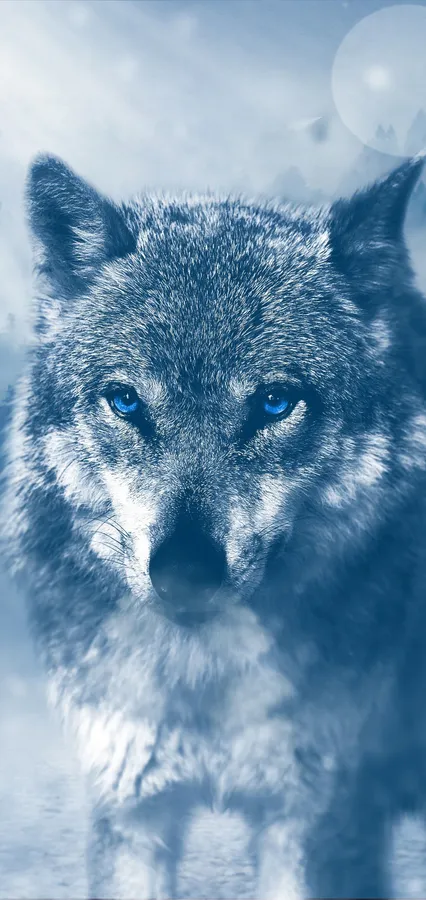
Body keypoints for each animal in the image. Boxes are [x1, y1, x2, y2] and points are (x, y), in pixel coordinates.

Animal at [2, 152, 426, 899]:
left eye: (276, 402)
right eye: (125, 401)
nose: (186, 572)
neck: (202, 684)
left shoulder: (314, 821)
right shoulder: (131, 809)